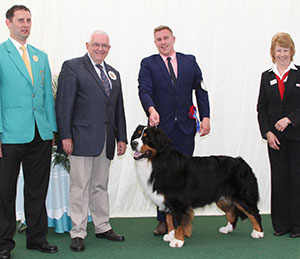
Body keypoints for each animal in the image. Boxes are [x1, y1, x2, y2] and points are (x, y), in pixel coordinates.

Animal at [130, 126, 264, 250]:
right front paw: (170, 235)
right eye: (136, 135)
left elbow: (178, 223)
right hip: (222, 199)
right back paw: (227, 228)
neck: (158, 163)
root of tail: (242, 162)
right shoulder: (166, 201)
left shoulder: (177, 202)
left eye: (147, 138)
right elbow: (169, 220)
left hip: (241, 197)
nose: (133, 143)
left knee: (254, 212)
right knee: (232, 212)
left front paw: (177, 241)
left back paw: (258, 232)